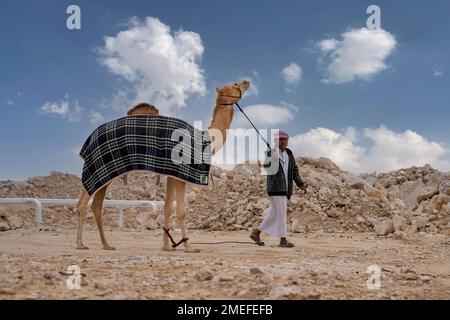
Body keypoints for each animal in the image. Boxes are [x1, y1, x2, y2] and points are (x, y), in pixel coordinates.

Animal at [74, 80, 250, 252]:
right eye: (235, 85)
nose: (246, 82)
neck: (205, 141)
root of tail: (90, 137)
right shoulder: (181, 173)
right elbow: (181, 211)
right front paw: (188, 247)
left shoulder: (172, 174)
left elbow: (168, 207)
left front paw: (167, 246)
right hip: (99, 166)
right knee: (84, 203)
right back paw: (81, 244)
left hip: (105, 171)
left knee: (95, 204)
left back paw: (106, 245)